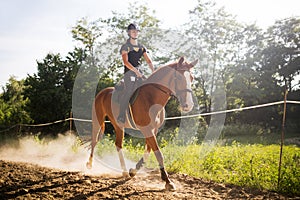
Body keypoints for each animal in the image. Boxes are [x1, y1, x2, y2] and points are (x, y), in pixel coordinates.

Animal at [86, 56, 197, 191]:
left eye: (191, 78)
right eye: (179, 78)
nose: (188, 105)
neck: (151, 97)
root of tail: (102, 92)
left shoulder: (153, 130)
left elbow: (148, 151)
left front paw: (133, 170)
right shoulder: (147, 129)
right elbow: (158, 153)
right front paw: (167, 181)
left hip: (118, 125)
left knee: (118, 145)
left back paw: (124, 171)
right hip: (98, 121)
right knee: (94, 140)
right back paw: (89, 164)